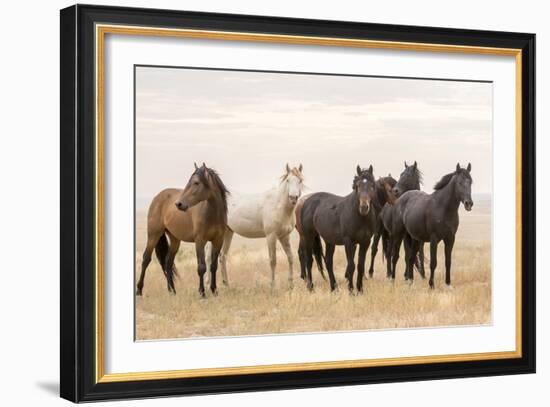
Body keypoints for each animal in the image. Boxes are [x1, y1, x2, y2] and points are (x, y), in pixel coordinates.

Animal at [138, 163, 233, 300]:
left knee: (168, 262)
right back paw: (139, 291)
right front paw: (202, 293)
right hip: (153, 235)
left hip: (174, 240)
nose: (178, 204)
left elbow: (213, 266)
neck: (212, 214)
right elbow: (201, 267)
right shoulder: (200, 241)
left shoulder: (218, 241)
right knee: (146, 259)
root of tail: (157, 197)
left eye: (196, 183)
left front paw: (214, 291)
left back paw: (172, 291)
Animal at [298, 166, 380, 294]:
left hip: (329, 241)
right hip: (308, 236)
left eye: (372, 185)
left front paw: (360, 290)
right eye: (357, 185)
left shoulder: (365, 242)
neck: (359, 217)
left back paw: (334, 288)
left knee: (328, 262)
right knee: (309, 260)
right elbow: (351, 265)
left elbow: (360, 266)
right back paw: (311, 287)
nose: (364, 207)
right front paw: (351, 291)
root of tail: (306, 201)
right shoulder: (349, 242)